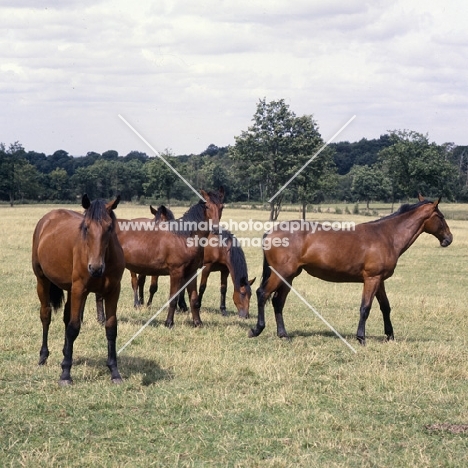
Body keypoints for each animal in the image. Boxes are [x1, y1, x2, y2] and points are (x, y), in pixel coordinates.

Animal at [31, 194, 125, 384]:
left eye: (109, 227)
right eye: (86, 227)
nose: (95, 268)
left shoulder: (113, 291)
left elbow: (111, 328)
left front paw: (114, 371)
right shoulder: (80, 290)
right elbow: (74, 327)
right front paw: (65, 374)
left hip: (69, 288)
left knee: (66, 318)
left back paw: (64, 352)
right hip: (42, 280)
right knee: (46, 315)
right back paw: (43, 357)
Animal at [114, 188, 224, 328]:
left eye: (222, 207)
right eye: (208, 206)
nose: (215, 229)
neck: (185, 237)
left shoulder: (191, 272)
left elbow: (193, 298)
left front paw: (198, 323)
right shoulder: (176, 272)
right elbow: (173, 298)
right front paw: (169, 323)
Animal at [250, 196, 452, 346]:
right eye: (441, 217)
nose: (449, 239)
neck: (386, 236)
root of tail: (270, 233)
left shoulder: (379, 280)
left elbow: (385, 307)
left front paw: (390, 336)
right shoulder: (371, 279)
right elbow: (365, 308)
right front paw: (361, 337)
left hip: (289, 277)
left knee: (277, 302)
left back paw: (283, 335)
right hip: (281, 274)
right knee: (262, 294)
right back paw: (257, 329)